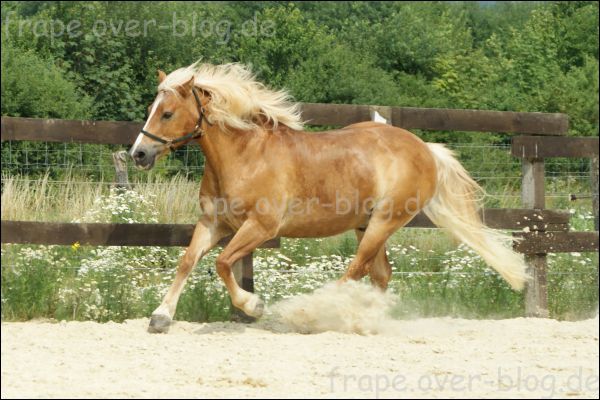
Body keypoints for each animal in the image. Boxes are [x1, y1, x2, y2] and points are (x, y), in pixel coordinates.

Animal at [129, 62, 528, 332]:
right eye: (150, 110)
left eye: (167, 113)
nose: (139, 154)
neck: (245, 155)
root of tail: (424, 148)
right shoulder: (214, 223)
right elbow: (188, 261)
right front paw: (160, 317)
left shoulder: (261, 227)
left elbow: (224, 263)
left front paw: (253, 306)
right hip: (367, 223)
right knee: (380, 273)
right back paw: (366, 318)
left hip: (385, 221)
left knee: (357, 269)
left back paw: (312, 311)